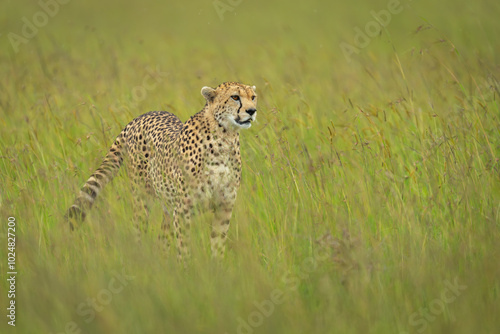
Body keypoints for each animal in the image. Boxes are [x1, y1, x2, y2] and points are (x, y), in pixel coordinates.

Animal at [67, 81, 258, 258]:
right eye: (235, 97)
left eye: (253, 97)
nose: (252, 111)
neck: (225, 138)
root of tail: (141, 117)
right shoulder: (183, 210)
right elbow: (184, 249)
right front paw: (186, 270)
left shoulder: (224, 207)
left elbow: (217, 247)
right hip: (142, 198)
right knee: (138, 231)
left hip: (167, 205)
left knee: (162, 240)